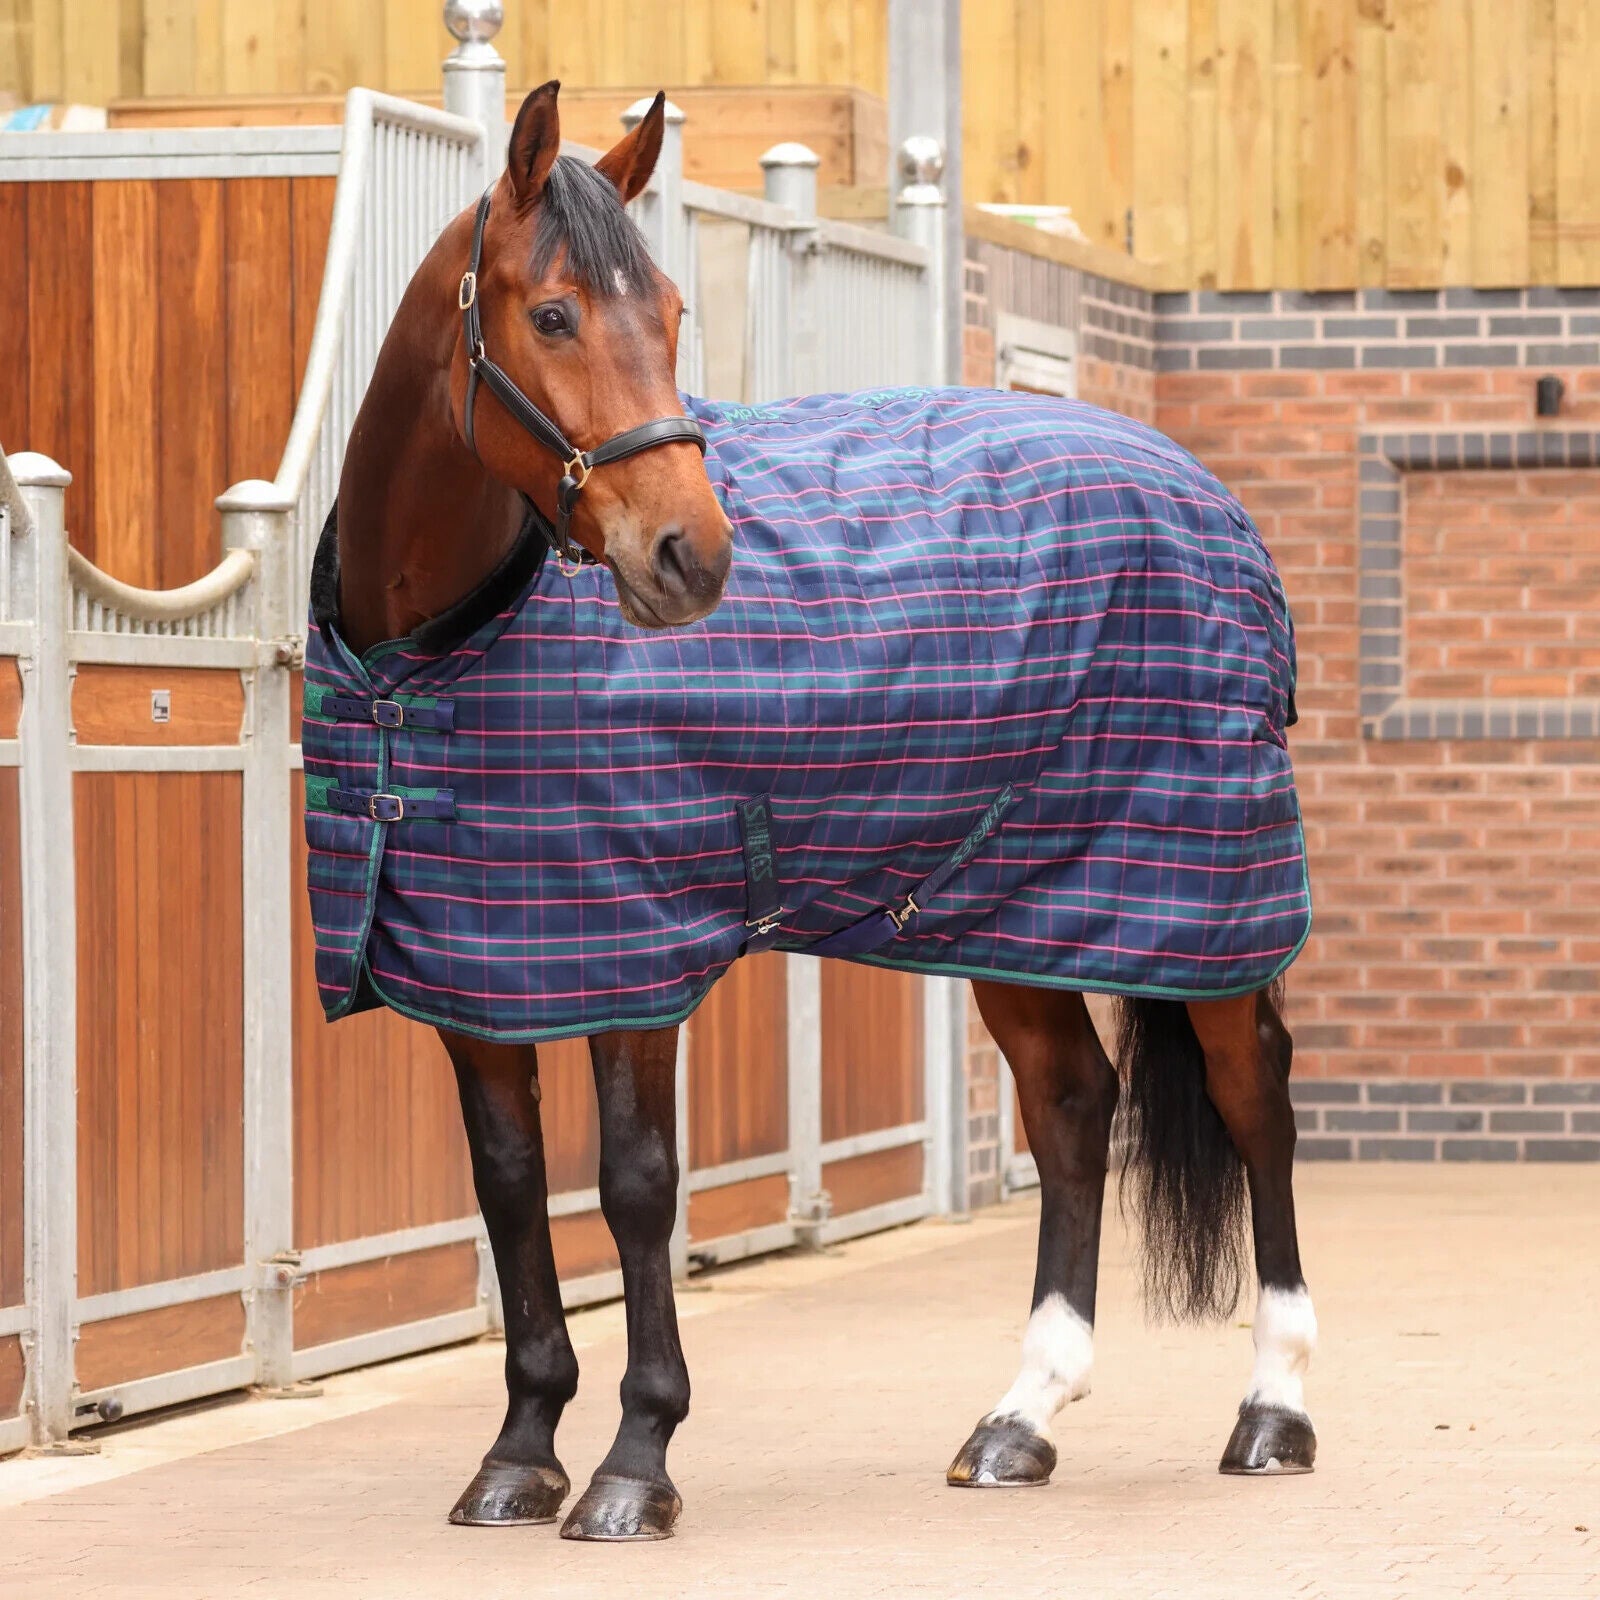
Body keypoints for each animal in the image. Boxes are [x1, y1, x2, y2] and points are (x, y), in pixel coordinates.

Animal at [311, 82, 1318, 1541]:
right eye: (551, 315)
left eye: (675, 311)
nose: (692, 557)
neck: (436, 653)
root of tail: (1201, 494)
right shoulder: (479, 966)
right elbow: (508, 1186)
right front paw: (518, 1454)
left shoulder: (634, 956)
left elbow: (636, 1189)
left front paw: (634, 1465)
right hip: (1009, 904)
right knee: (1073, 1105)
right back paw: (1019, 1421)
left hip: (1205, 896)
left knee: (1255, 1102)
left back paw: (1273, 1411)